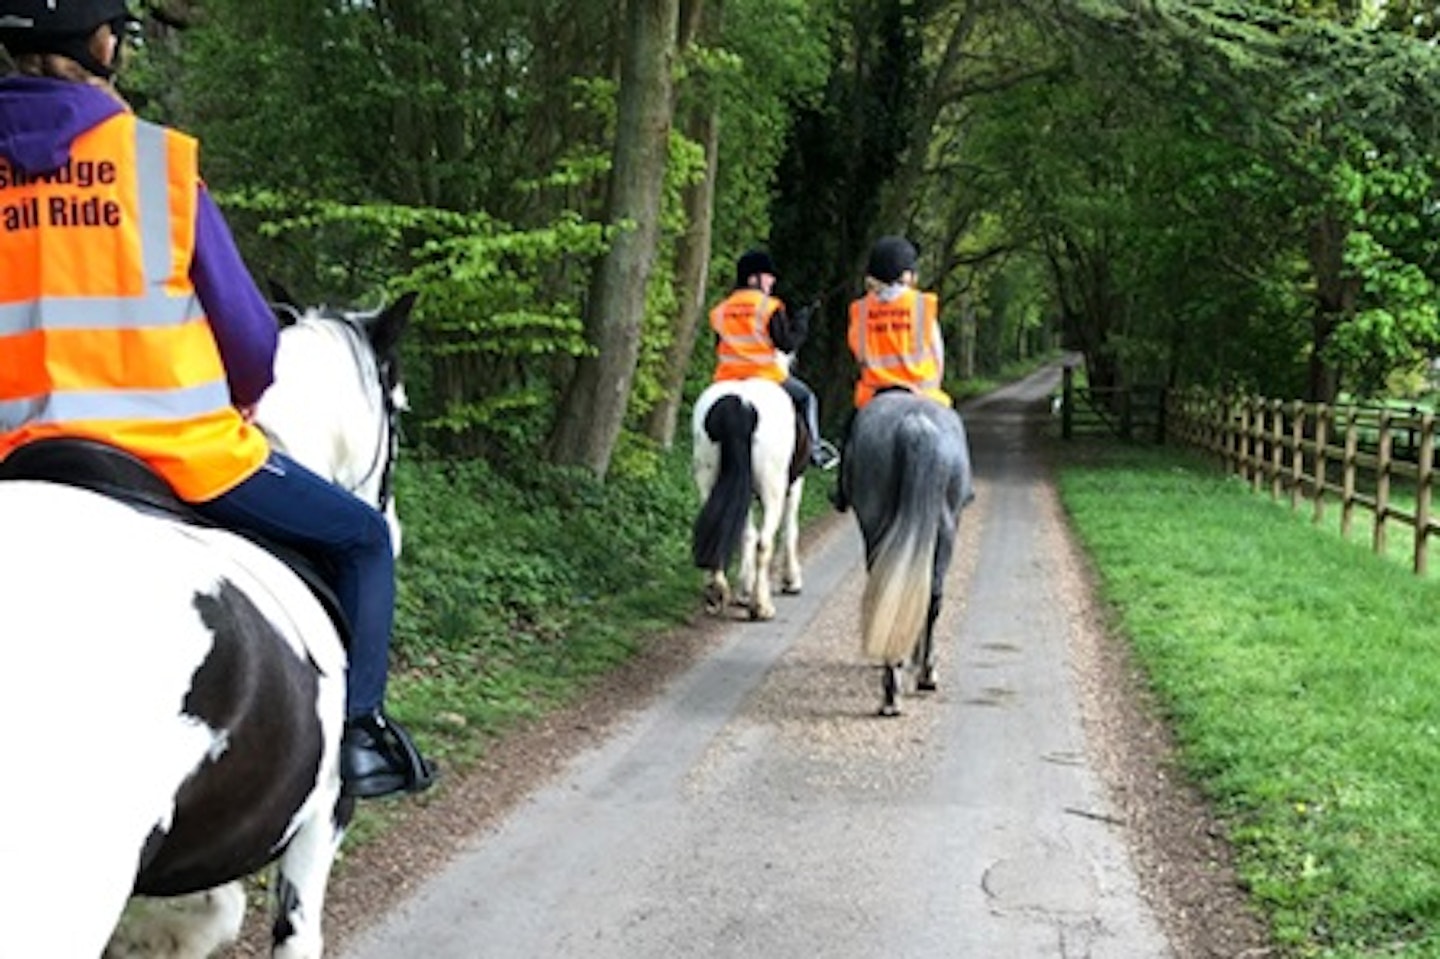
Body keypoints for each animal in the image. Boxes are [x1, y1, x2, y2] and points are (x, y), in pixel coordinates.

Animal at [688, 367, 812, 619]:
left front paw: (744, 590)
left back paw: (717, 593)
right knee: (764, 543)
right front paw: (791, 581)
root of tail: (741, 404)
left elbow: (746, 534)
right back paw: (761, 606)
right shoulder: (794, 486)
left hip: (707, 480)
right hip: (773, 490)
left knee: (720, 532)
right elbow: (790, 530)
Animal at [846, 385, 973, 708]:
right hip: (944, 531)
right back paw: (924, 674)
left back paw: (893, 689)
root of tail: (917, 426)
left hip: (879, 526)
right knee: (932, 597)